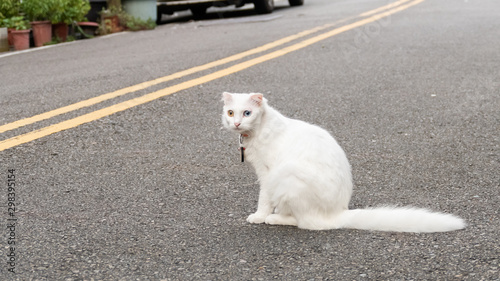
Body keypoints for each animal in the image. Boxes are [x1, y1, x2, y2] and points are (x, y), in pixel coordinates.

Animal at [221, 92, 466, 232]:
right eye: (230, 112)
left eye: (247, 113)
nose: (236, 123)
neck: (257, 131)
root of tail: (339, 213)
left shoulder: (267, 174)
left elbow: (263, 199)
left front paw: (259, 216)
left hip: (287, 174)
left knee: (306, 223)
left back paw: (274, 219)